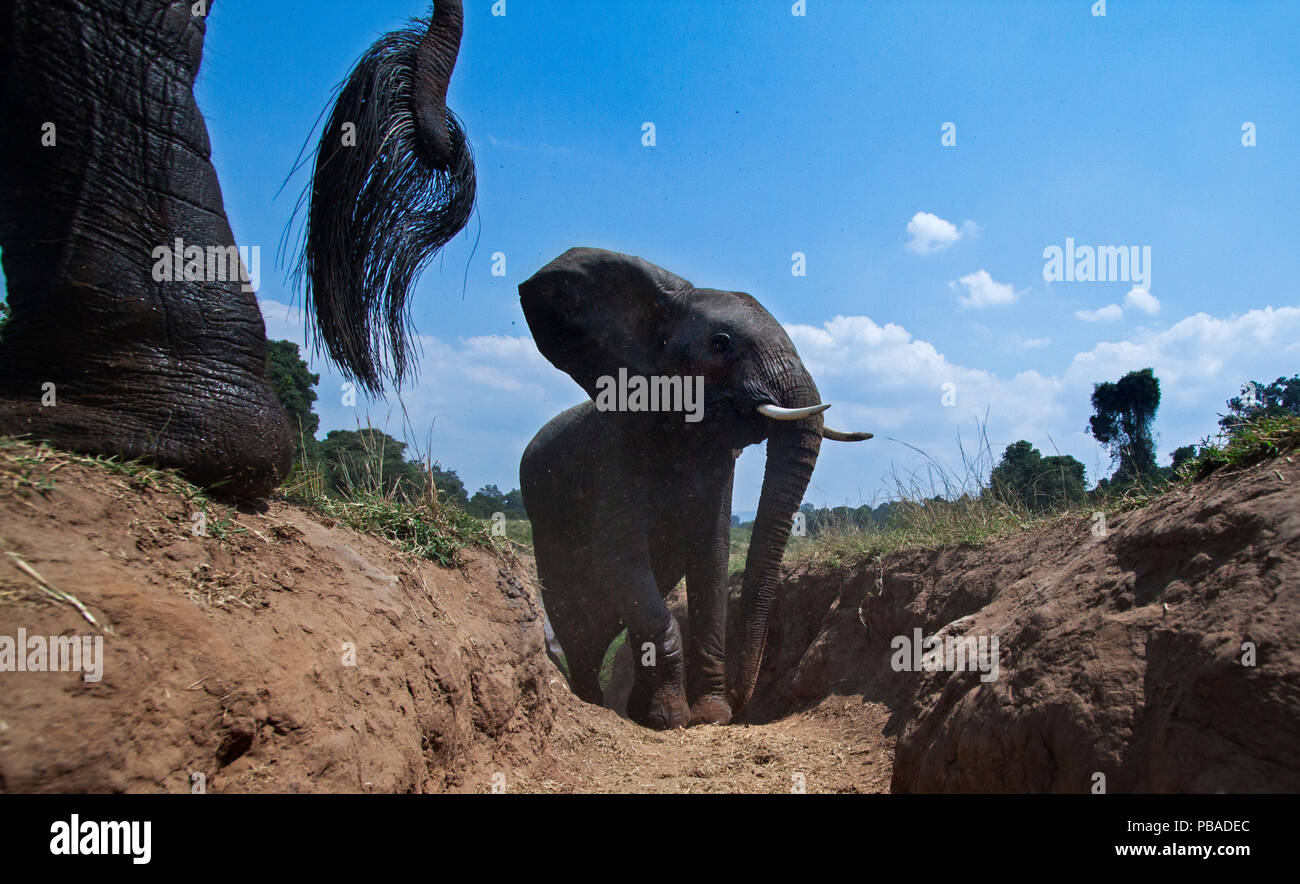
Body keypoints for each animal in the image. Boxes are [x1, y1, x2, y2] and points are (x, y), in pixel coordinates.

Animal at [517, 245, 873, 728]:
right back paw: (596, 704)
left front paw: (710, 715)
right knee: (578, 624)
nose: (743, 704)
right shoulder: (613, 446)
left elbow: (712, 555)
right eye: (720, 343)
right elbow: (620, 558)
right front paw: (673, 718)